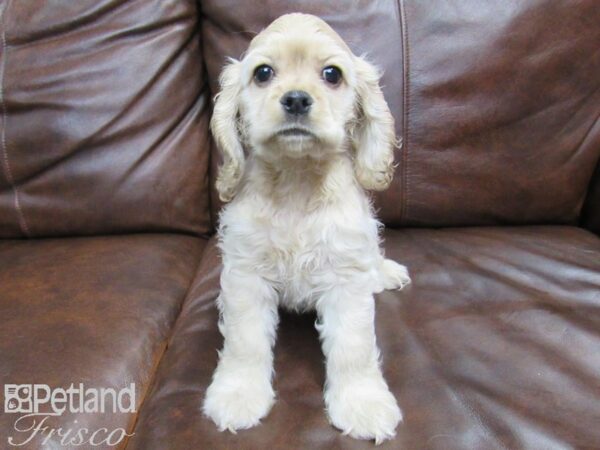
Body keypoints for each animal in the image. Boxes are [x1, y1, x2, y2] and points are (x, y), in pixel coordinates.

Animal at [204, 13, 410, 442]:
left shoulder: (346, 276)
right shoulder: (246, 275)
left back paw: (384, 273)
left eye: (332, 74)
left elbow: (354, 348)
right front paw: (237, 395)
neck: (297, 182)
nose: (297, 99)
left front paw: (363, 404)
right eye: (263, 73)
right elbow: (245, 342)